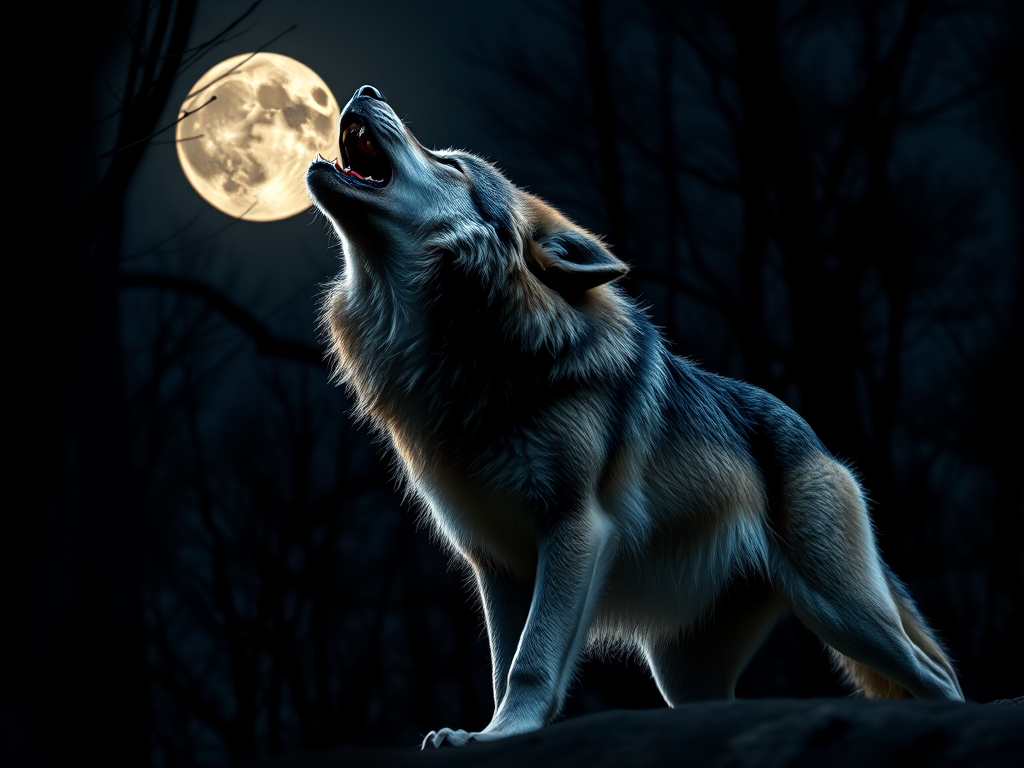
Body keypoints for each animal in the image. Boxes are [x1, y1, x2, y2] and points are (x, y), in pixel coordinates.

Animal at [306, 85, 964, 749]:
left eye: (450, 164)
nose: (365, 90)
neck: (463, 358)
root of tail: (818, 441)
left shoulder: (574, 527)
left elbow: (529, 660)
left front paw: (501, 734)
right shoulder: (496, 563)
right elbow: (501, 663)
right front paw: (487, 732)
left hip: (842, 613)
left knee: (936, 674)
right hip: (682, 671)